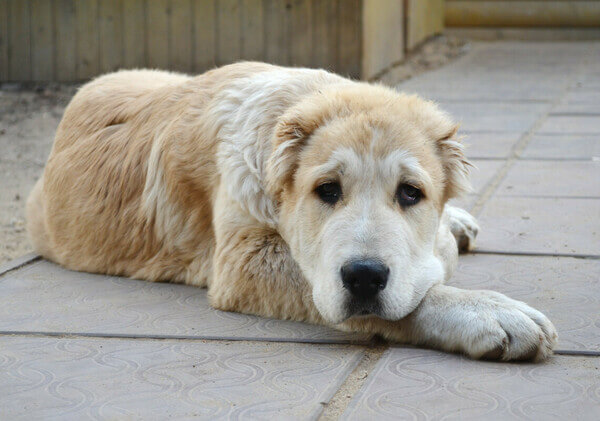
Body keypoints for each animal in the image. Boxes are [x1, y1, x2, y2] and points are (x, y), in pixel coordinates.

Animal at [25, 62, 556, 360]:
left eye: (410, 193)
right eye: (326, 190)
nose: (364, 277)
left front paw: (449, 232)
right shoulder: (242, 261)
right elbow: (415, 291)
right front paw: (487, 311)